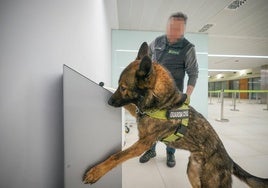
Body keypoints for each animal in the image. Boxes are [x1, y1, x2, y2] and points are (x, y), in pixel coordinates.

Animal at [84, 42, 268, 188]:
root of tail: (229, 160)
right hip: (193, 173)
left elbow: (116, 156)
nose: (109, 101)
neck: (162, 103)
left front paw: (96, 171)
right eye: (117, 86)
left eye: (123, 88)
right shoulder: (139, 118)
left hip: (211, 183)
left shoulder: (143, 143)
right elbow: (130, 106)